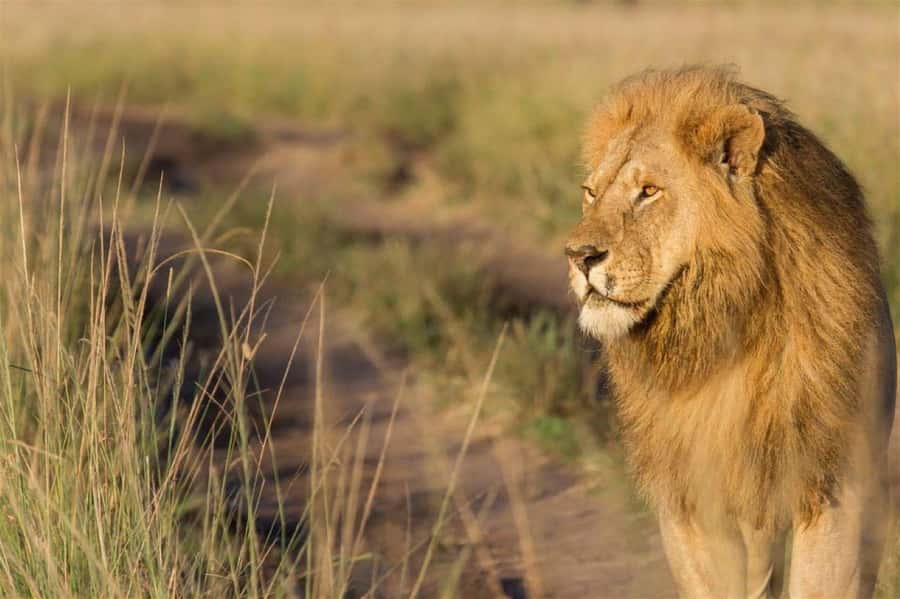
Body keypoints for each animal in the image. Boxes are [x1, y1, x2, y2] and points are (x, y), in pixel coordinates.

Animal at [565, 66, 896, 598]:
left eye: (649, 191)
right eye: (591, 193)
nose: (578, 257)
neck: (725, 326)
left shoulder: (836, 484)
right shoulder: (691, 498)